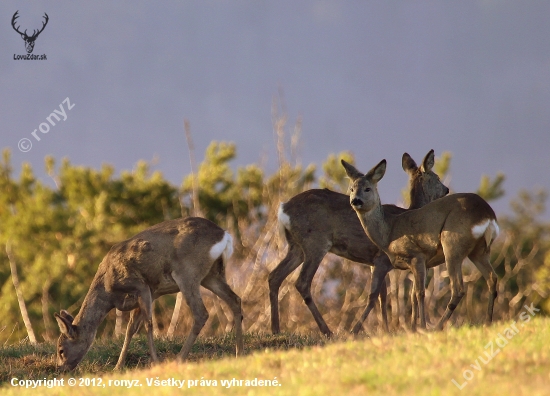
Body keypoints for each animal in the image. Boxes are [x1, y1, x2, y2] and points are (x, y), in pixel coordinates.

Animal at [55, 217, 243, 372]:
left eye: (61, 350)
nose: (61, 369)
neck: (108, 290)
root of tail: (224, 235)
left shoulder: (142, 286)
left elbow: (147, 324)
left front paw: (156, 362)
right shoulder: (150, 294)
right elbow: (130, 328)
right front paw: (118, 367)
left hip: (187, 272)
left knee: (201, 313)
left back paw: (179, 359)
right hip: (212, 275)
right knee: (235, 300)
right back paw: (239, 353)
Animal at [270, 150, 450, 336]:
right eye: (437, 177)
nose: (446, 189)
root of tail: (283, 209)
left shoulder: (374, 262)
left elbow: (383, 296)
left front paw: (385, 329)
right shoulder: (381, 259)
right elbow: (375, 296)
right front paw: (360, 330)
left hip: (296, 246)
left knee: (275, 276)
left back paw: (276, 328)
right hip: (315, 242)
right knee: (302, 282)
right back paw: (326, 330)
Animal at [342, 158, 502, 332]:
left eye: (367, 188)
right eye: (351, 188)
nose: (355, 201)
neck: (389, 232)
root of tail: (488, 215)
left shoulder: (417, 255)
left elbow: (419, 293)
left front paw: (421, 327)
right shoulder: (417, 263)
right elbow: (413, 295)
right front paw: (413, 328)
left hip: (452, 243)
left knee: (458, 289)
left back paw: (437, 326)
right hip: (479, 251)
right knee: (492, 278)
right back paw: (487, 322)